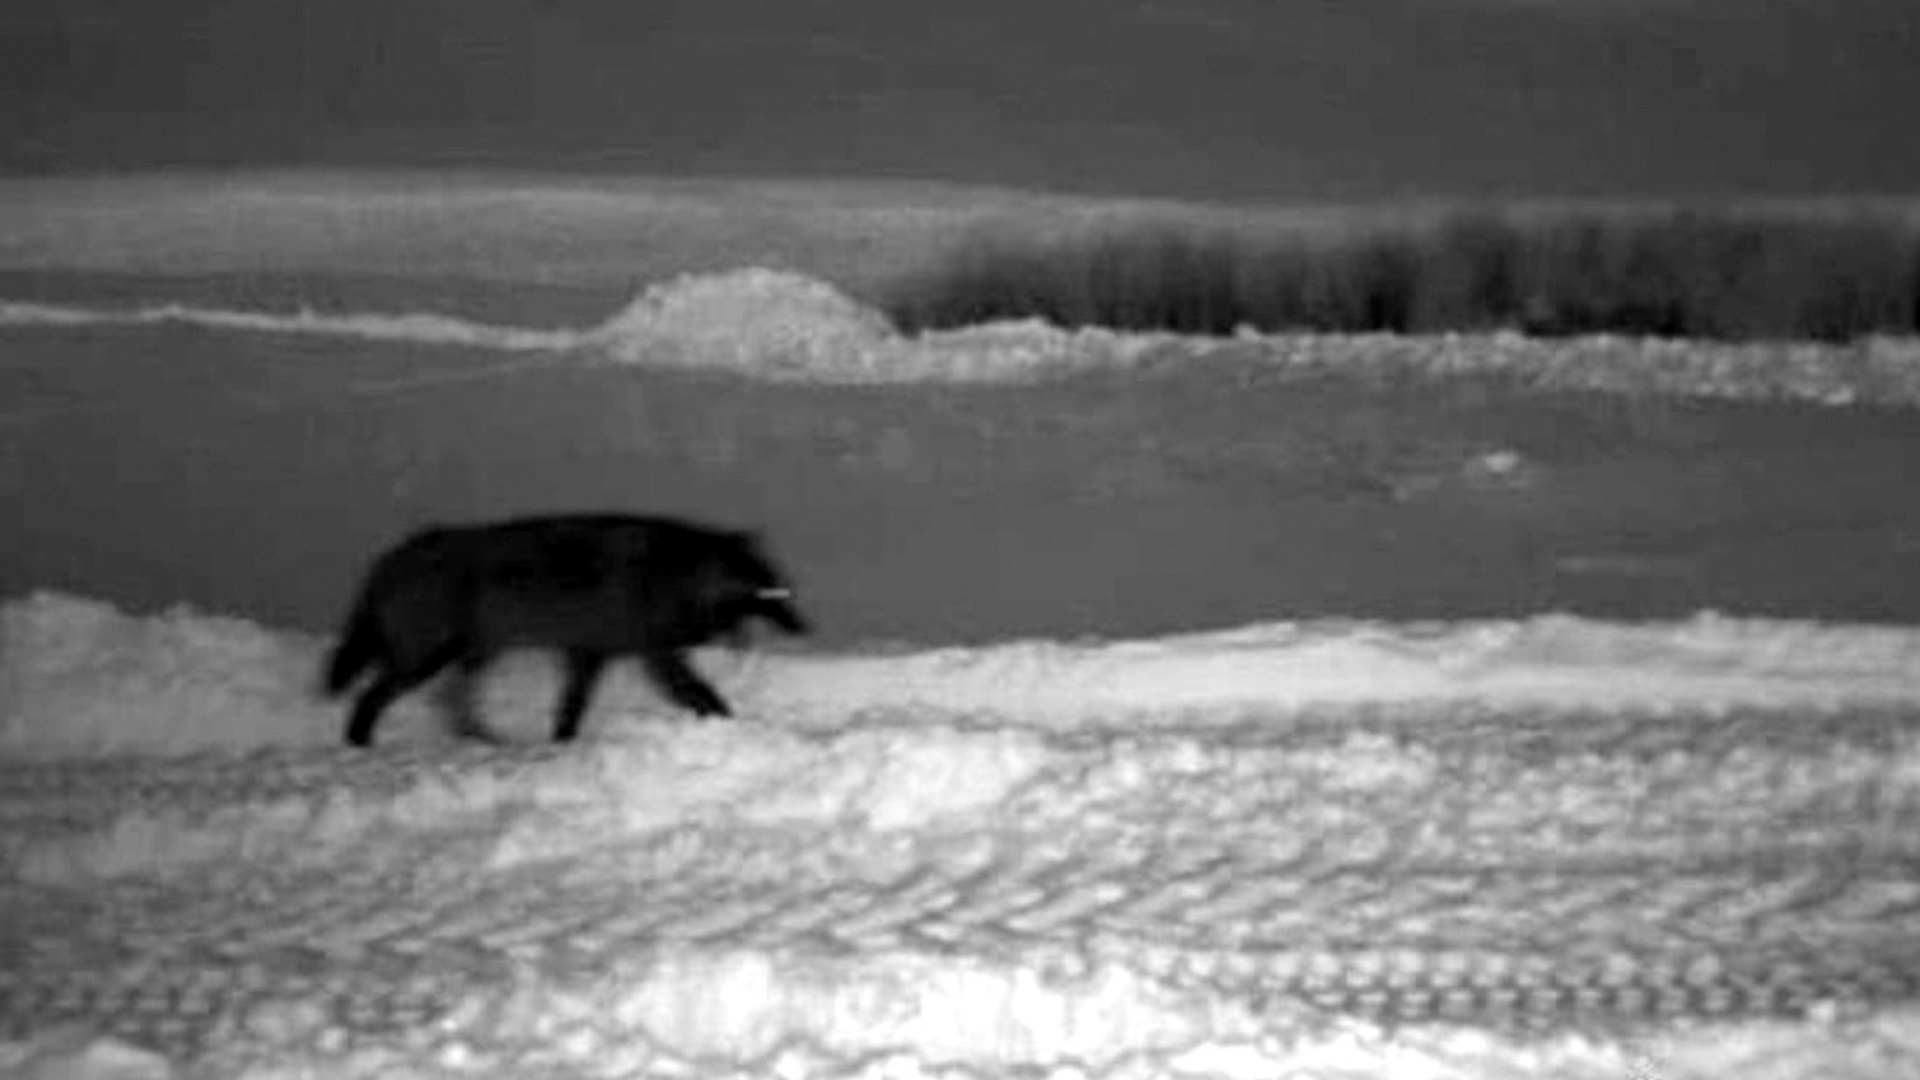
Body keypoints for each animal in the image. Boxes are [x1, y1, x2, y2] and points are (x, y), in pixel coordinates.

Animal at [323, 513, 809, 747]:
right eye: (770, 593)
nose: (804, 627)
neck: (674, 575)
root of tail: (385, 562)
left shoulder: (588, 655)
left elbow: (570, 709)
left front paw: (561, 744)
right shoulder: (657, 657)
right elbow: (703, 694)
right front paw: (732, 724)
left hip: (467, 655)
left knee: (452, 704)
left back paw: (485, 741)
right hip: (427, 658)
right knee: (375, 697)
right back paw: (360, 746)